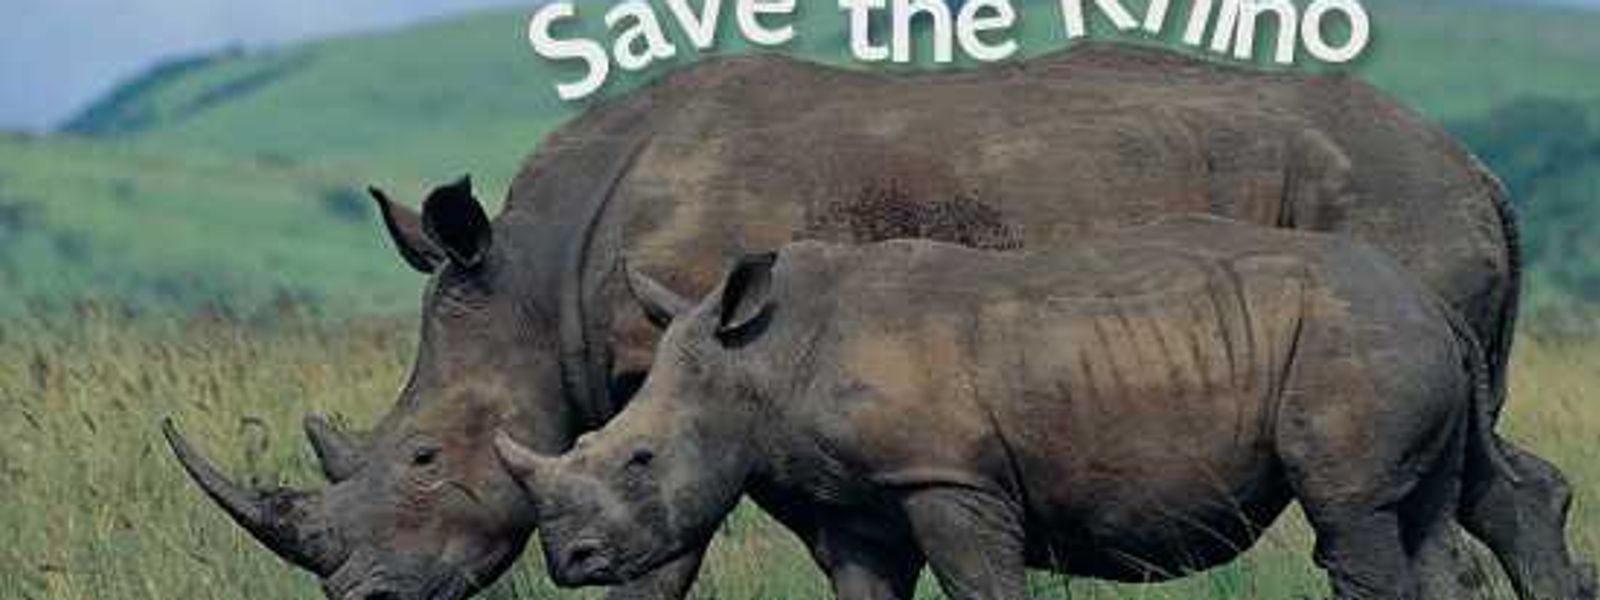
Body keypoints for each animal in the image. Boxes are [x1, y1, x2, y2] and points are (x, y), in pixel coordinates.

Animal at [495, 217, 1591, 600]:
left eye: (638, 460)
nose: (571, 564)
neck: (757, 357)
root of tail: (1427, 299)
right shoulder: (855, 498)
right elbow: (866, 586)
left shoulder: (950, 476)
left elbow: (981, 583)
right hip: (1393, 336)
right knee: (1429, 510)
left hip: (1352, 336)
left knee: (1354, 514)